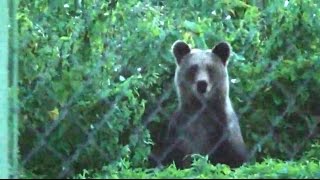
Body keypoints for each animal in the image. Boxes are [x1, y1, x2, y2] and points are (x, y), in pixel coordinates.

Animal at [149, 39, 249, 169]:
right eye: (193, 68)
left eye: (210, 68)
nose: (202, 83)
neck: (202, 109)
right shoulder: (181, 131)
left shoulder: (225, 131)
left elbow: (237, 159)